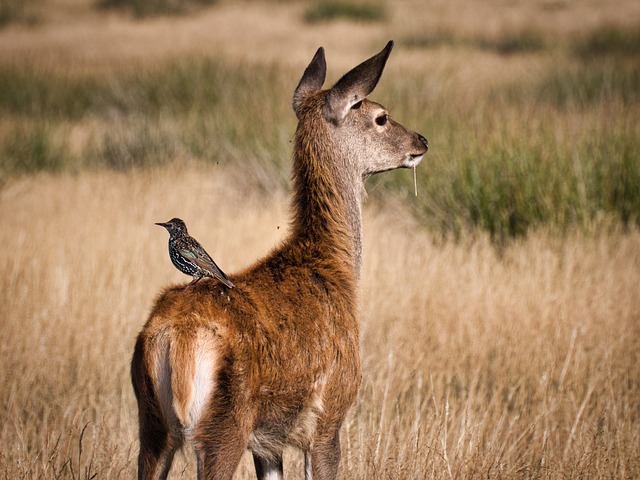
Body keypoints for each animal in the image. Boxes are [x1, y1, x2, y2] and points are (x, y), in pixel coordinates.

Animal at [130, 41, 430, 480]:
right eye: (380, 116)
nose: (421, 141)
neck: (334, 268)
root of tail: (173, 337)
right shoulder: (328, 419)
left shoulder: (268, 443)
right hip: (223, 426)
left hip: (151, 426)